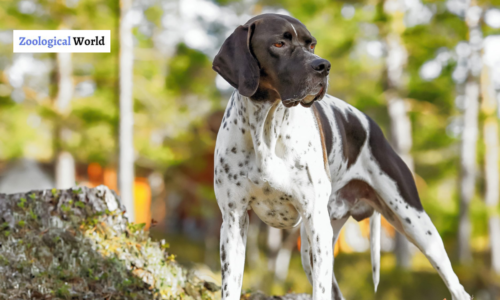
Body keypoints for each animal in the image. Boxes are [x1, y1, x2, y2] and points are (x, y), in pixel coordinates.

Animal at [213, 12, 470, 300]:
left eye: (312, 44)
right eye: (279, 43)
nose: (323, 66)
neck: (267, 129)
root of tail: (373, 126)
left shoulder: (315, 219)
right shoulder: (233, 220)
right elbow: (231, 286)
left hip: (414, 225)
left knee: (458, 287)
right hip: (312, 245)